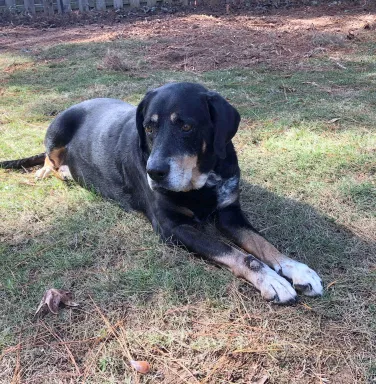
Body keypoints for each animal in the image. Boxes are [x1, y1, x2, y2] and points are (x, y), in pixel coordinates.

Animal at [0, 82, 324, 304]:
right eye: (149, 127)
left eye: (186, 126)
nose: (154, 172)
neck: (202, 180)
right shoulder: (174, 226)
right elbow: (241, 255)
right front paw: (270, 279)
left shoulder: (230, 213)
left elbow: (262, 244)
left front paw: (296, 268)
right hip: (57, 129)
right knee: (48, 158)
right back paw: (54, 171)